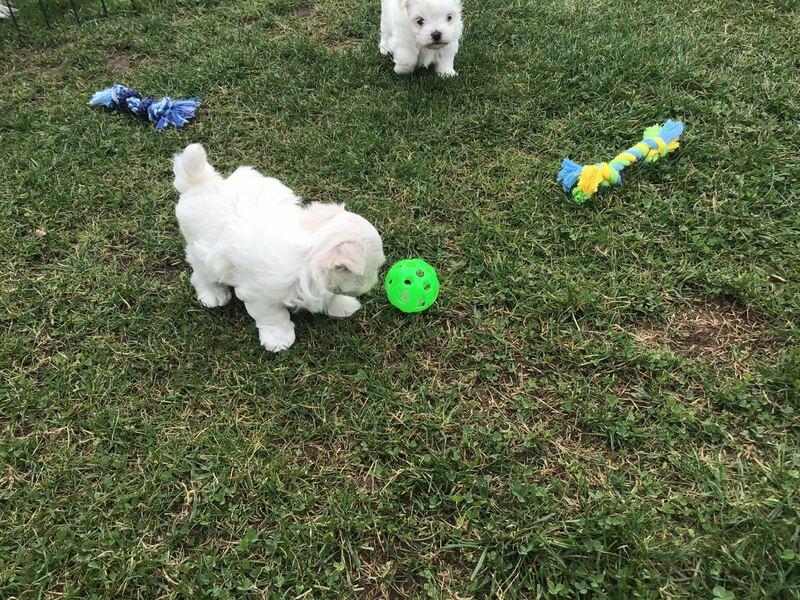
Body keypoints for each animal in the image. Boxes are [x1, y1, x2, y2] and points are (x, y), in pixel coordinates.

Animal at [173, 144, 385, 352]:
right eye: (371, 271)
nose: (375, 283)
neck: (310, 251)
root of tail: (201, 184)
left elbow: (328, 296)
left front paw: (342, 305)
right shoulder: (260, 294)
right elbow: (272, 315)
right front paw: (278, 338)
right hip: (203, 254)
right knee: (200, 274)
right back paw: (213, 293)